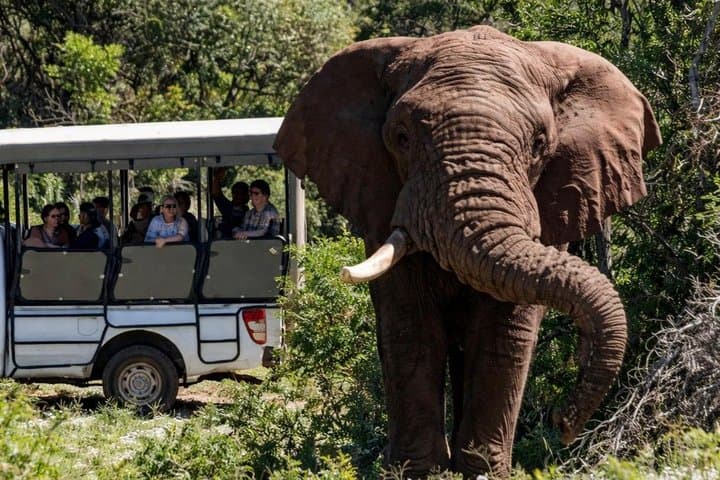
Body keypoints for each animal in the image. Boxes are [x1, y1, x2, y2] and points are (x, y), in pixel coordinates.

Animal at [274, 25, 661, 478]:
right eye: (402, 138)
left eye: (539, 144)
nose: (563, 423)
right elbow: (410, 324)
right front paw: (418, 471)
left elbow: (505, 330)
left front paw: (481, 470)